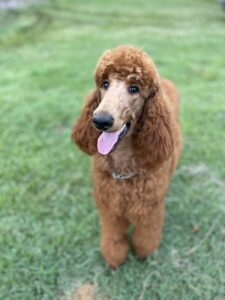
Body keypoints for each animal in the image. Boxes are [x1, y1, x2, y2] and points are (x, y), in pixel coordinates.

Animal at [72, 46, 183, 268]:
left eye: (134, 88)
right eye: (105, 84)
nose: (100, 120)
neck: (123, 170)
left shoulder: (150, 209)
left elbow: (144, 237)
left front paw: (143, 254)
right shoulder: (110, 208)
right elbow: (113, 237)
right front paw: (114, 258)